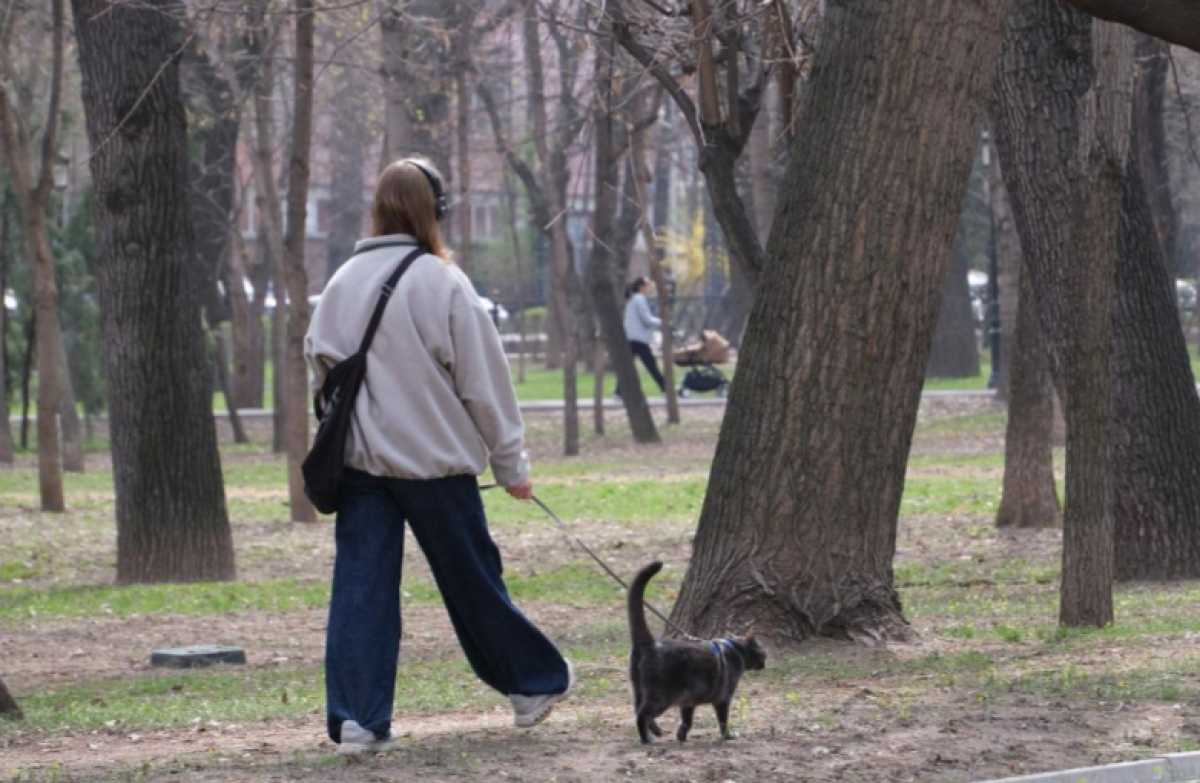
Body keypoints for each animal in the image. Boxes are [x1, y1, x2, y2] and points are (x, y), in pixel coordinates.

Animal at [628, 559, 768, 744]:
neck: (735, 648)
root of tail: (650, 643)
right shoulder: (723, 698)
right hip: (661, 696)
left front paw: (681, 736)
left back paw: (655, 732)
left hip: (639, 688)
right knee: (642, 714)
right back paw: (647, 739)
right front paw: (728, 736)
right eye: (763, 653)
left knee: (638, 709)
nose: (765, 663)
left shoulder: (689, 700)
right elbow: (723, 720)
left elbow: (687, 720)